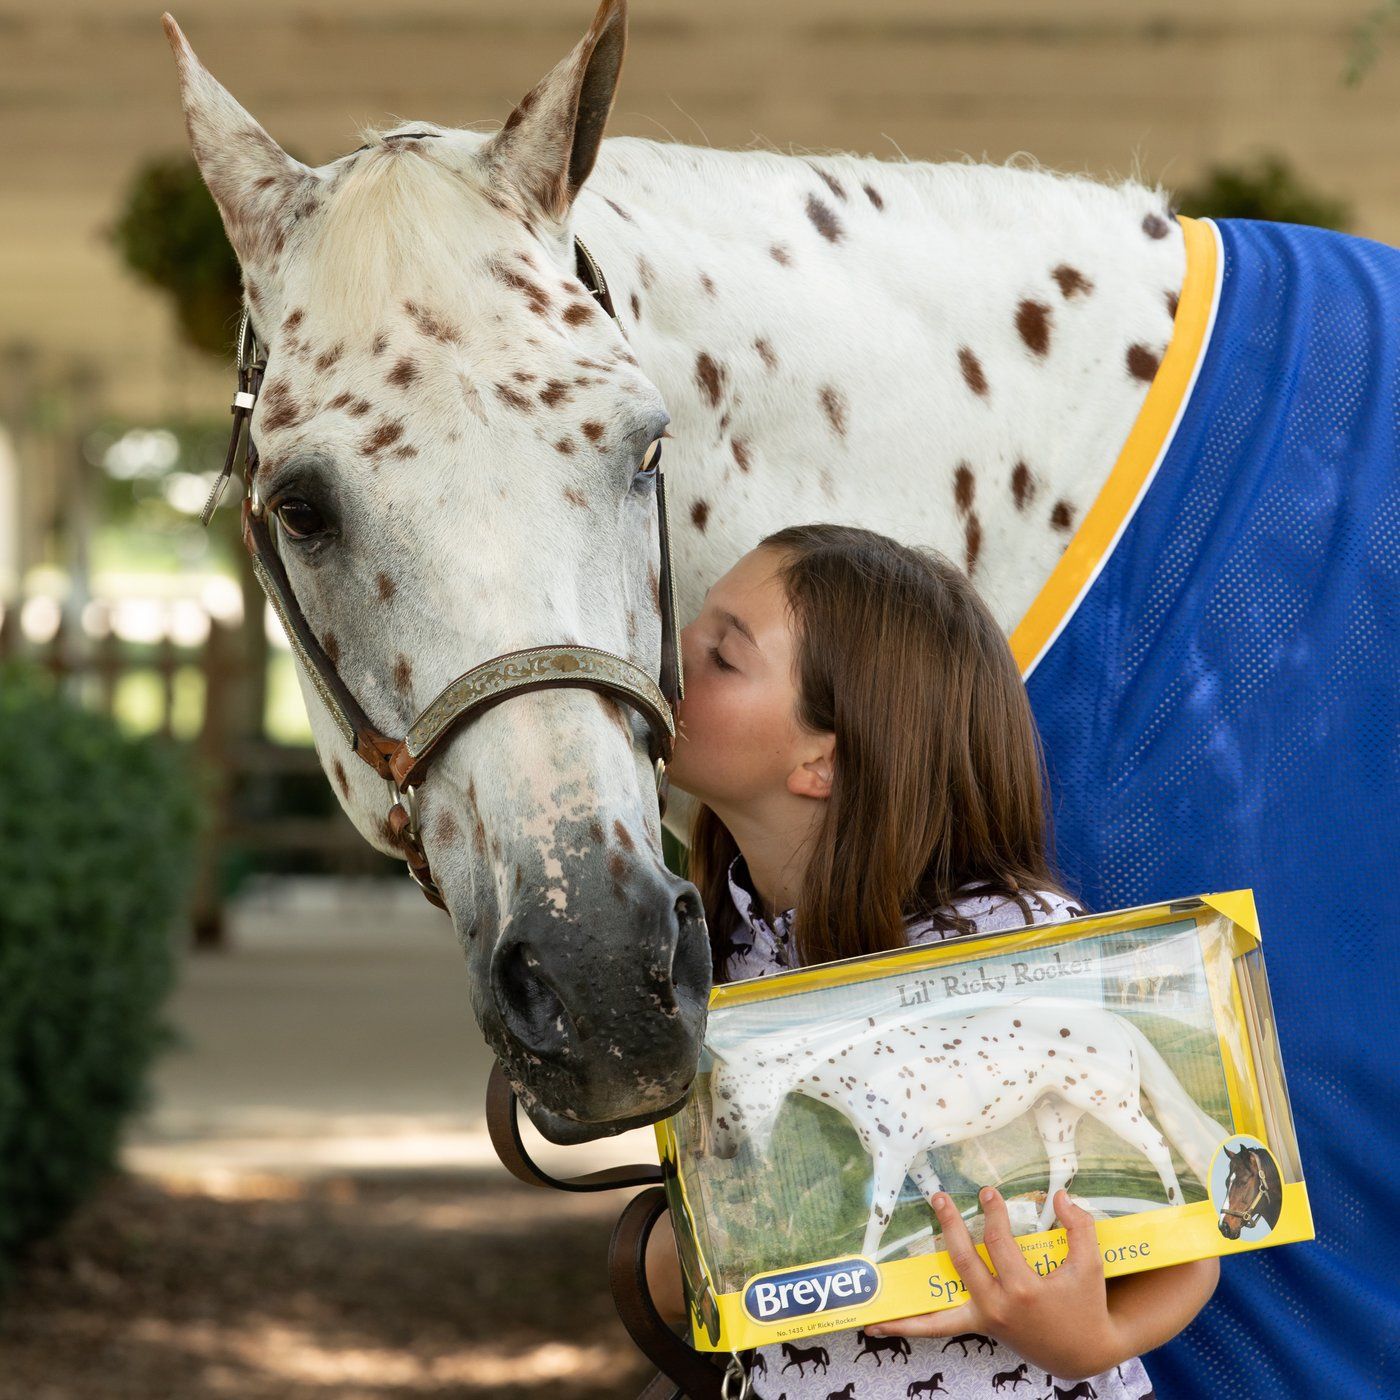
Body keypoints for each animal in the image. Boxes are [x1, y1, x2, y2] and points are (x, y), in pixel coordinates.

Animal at [711, 996, 1226, 1260]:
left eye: (723, 1090)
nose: (721, 1151)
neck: (862, 1066)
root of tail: (1113, 1019)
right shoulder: (916, 1156)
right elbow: (938, 1200)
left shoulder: (893, 1157)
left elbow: (879, 1216)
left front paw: (867, 1270)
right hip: (1055, 1114)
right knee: (1064, 1168)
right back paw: (1040, 1231)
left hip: (1111, 1105)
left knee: (1156, 1146)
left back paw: (1173, 1212)